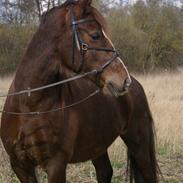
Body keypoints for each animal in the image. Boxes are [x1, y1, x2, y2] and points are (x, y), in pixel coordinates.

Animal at [0, 0, 159, 182]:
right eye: (96, 35)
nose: (124, 80)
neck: (29, 106)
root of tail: (136, 85)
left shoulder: (56, 165)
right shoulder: (20, 166)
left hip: (138, 144)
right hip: (98, 144)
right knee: (105, 171)